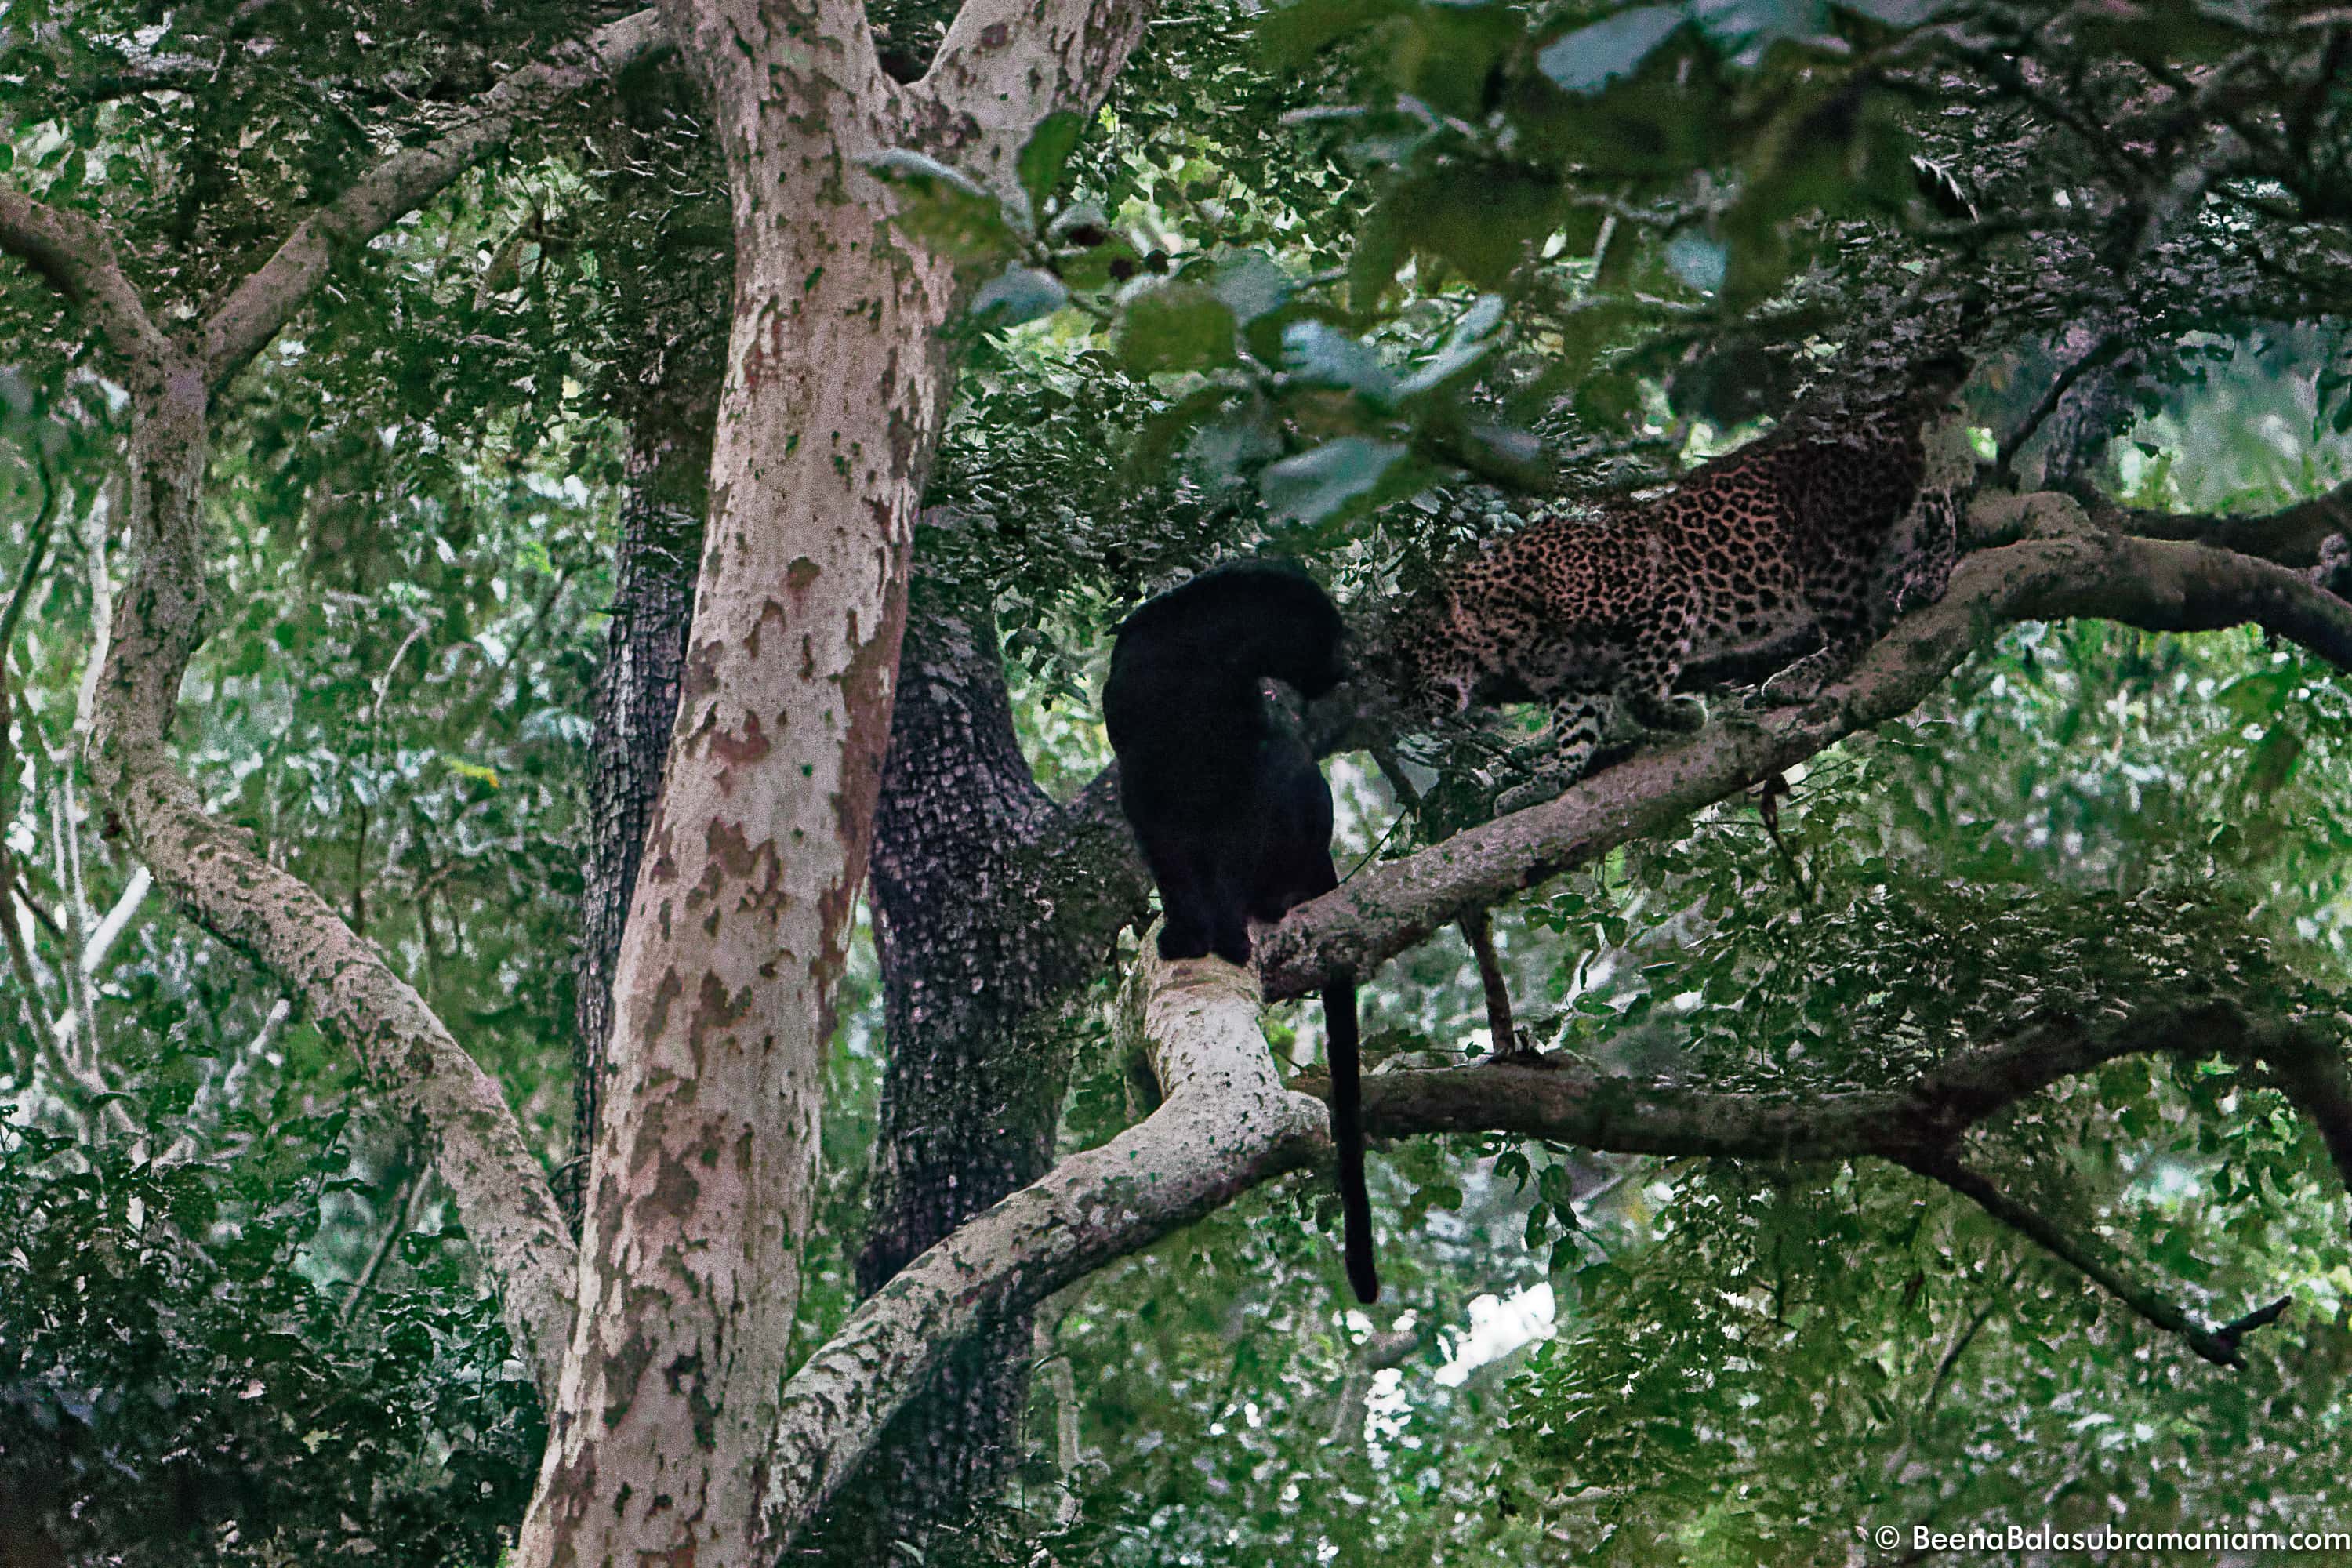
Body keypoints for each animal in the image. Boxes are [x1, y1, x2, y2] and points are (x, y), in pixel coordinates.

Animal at [1374, 364, 1976, 785]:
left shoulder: (1666, 593)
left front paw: (1682, 714)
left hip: (1827, 551)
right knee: (1937, 505)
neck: (1506, 628)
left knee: (1860, 628)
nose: (1410, 711)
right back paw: (1927, 577)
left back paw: (1799, 675)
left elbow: (1639, 688)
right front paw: (1550, 778)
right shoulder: (1578, 676)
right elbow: (1575, 727)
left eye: (1413, 655)